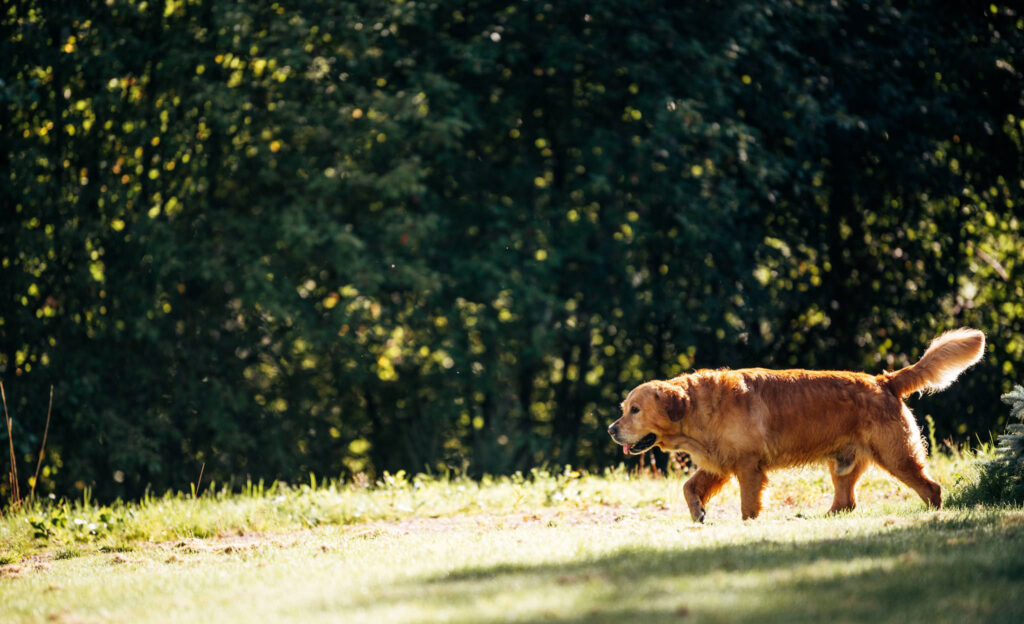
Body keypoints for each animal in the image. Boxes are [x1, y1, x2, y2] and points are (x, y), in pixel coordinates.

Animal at [606, 327, 983, 518]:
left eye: (635, 410)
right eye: (624, 408)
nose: (611, 429)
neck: (699, 409)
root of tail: (884, 380)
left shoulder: (748, 466)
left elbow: (748, 506)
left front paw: (747, 527)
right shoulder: (720, 464)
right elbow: (688, 487)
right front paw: (697, 511)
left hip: (897, 455)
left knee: (931, 488)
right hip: (844, 464)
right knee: (846, 503)